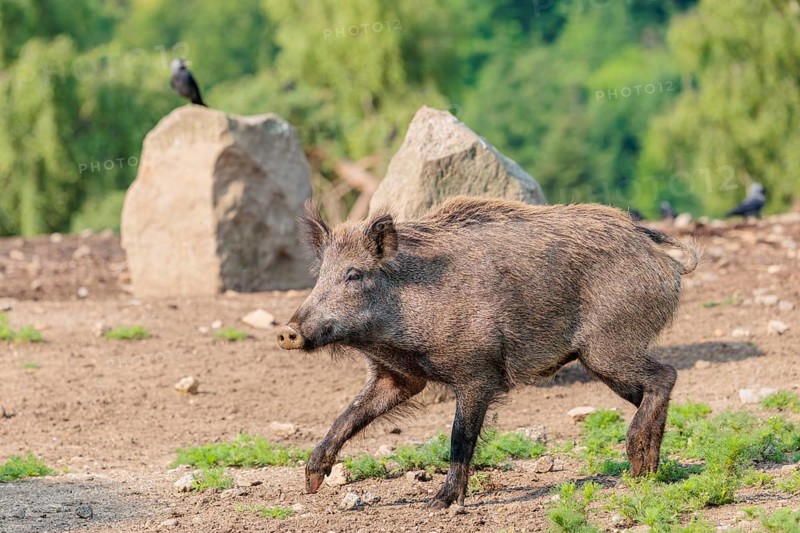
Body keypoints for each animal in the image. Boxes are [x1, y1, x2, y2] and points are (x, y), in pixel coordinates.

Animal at [277, 195, 698, 508]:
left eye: (354, 274)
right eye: (320, 275)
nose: (287, 331)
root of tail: (665, 261)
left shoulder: (477, 373)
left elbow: (460, 437)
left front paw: (439, 503)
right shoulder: (397, 377)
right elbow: (349, 414)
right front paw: (311, 481)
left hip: (608, 348)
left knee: (666, 375)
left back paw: (637, 460)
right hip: (608, 357)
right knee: (655, 388)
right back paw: (647, 472)